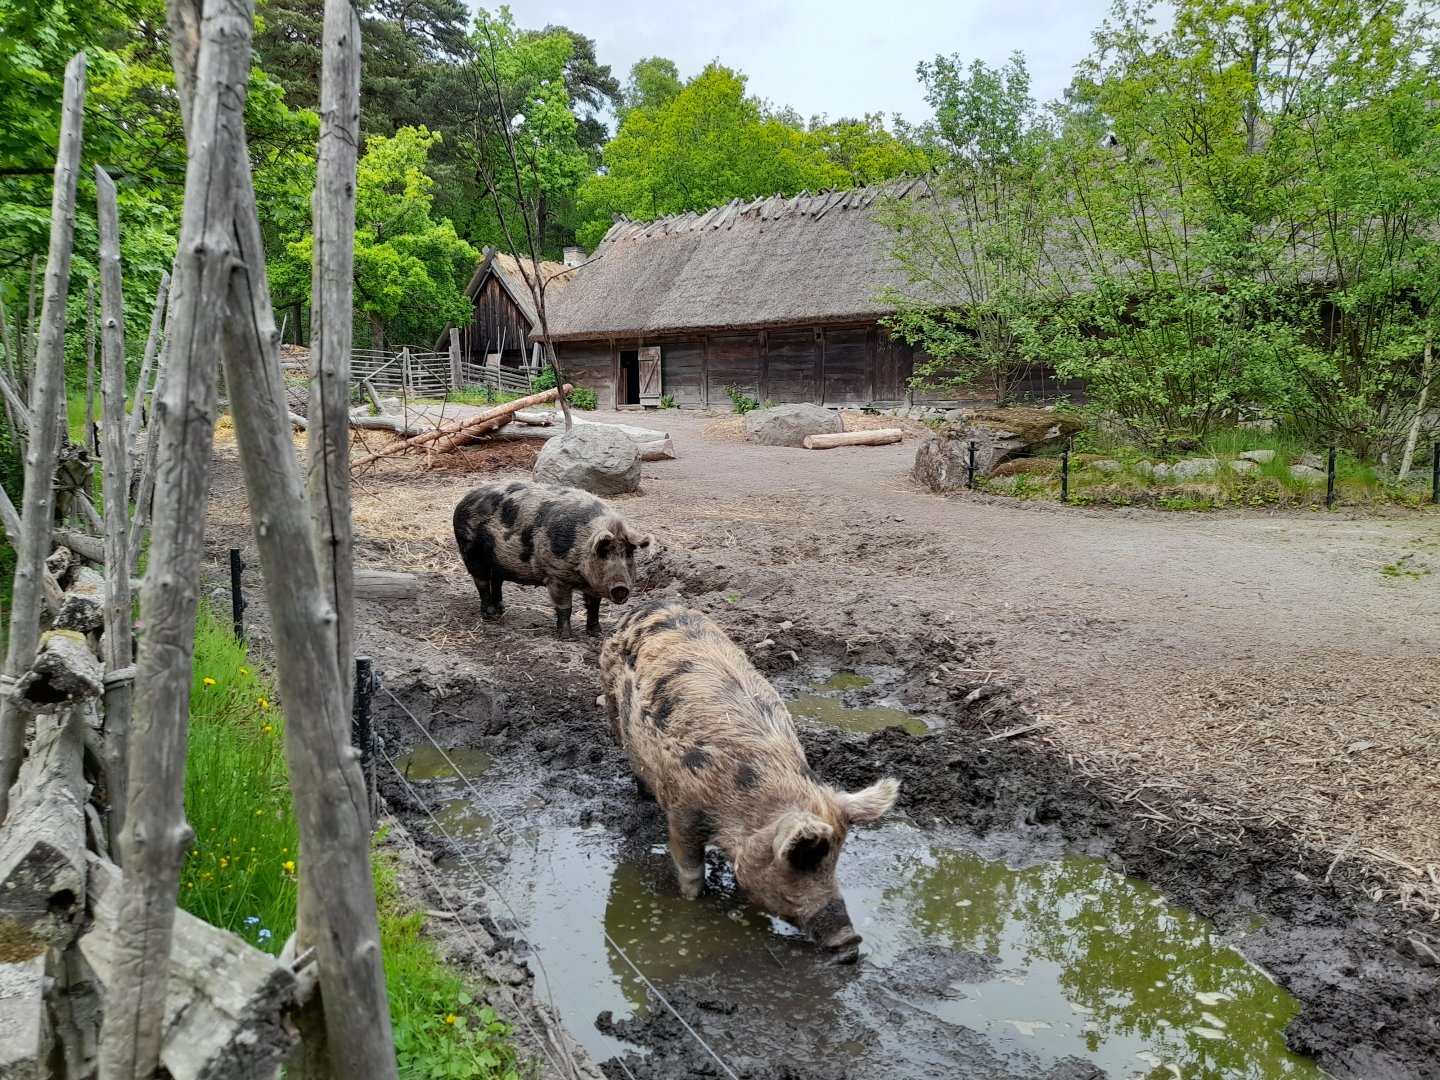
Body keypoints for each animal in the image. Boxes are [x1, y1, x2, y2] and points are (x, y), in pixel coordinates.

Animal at [453, 481, 652, 639]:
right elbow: (565, 607)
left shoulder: (593, 586)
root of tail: (463, 501)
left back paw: (502, 609)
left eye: (628, 554)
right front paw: (567, 637)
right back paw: (491, 615)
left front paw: (597, 634)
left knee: (497, 582)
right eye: (603, 553)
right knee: (482, 584)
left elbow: (594, 607)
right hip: (470, 553)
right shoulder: (556, 576)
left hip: (498, 562)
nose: (621, 587)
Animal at [599, 598, 900, 964]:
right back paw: (642, 795)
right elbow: (690, 870)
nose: (851, 943)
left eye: (834, 861)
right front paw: (693, 901)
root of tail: (650, 604)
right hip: (610, 698)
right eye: (802, 858)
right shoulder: (683, 812)